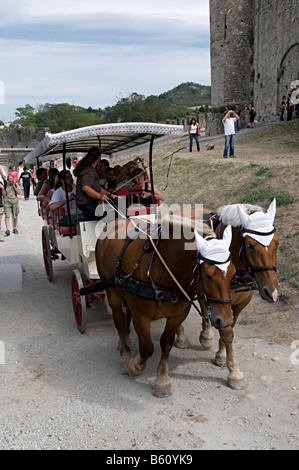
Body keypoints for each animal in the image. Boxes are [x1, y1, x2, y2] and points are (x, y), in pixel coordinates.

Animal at [96, 217, 237, 396]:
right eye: (207, 275)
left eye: (233, 273)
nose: (226, 320)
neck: (163, 267)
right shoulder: (141, 317)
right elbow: (147, 348)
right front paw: (134, 366)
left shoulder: (178, 315)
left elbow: (166, 342)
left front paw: (162, 379)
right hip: (112, 294)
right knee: (119, 322)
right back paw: (124, 354)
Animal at [177, 199, 280, 390]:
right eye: (250, 246)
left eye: (277, 242)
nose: (272, 291)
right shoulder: (221, 298)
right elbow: (227, 332)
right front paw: (233, 371)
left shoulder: (240, 302)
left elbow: (230, 327)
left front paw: (221, 353)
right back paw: (182, 336)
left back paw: (206, 334)